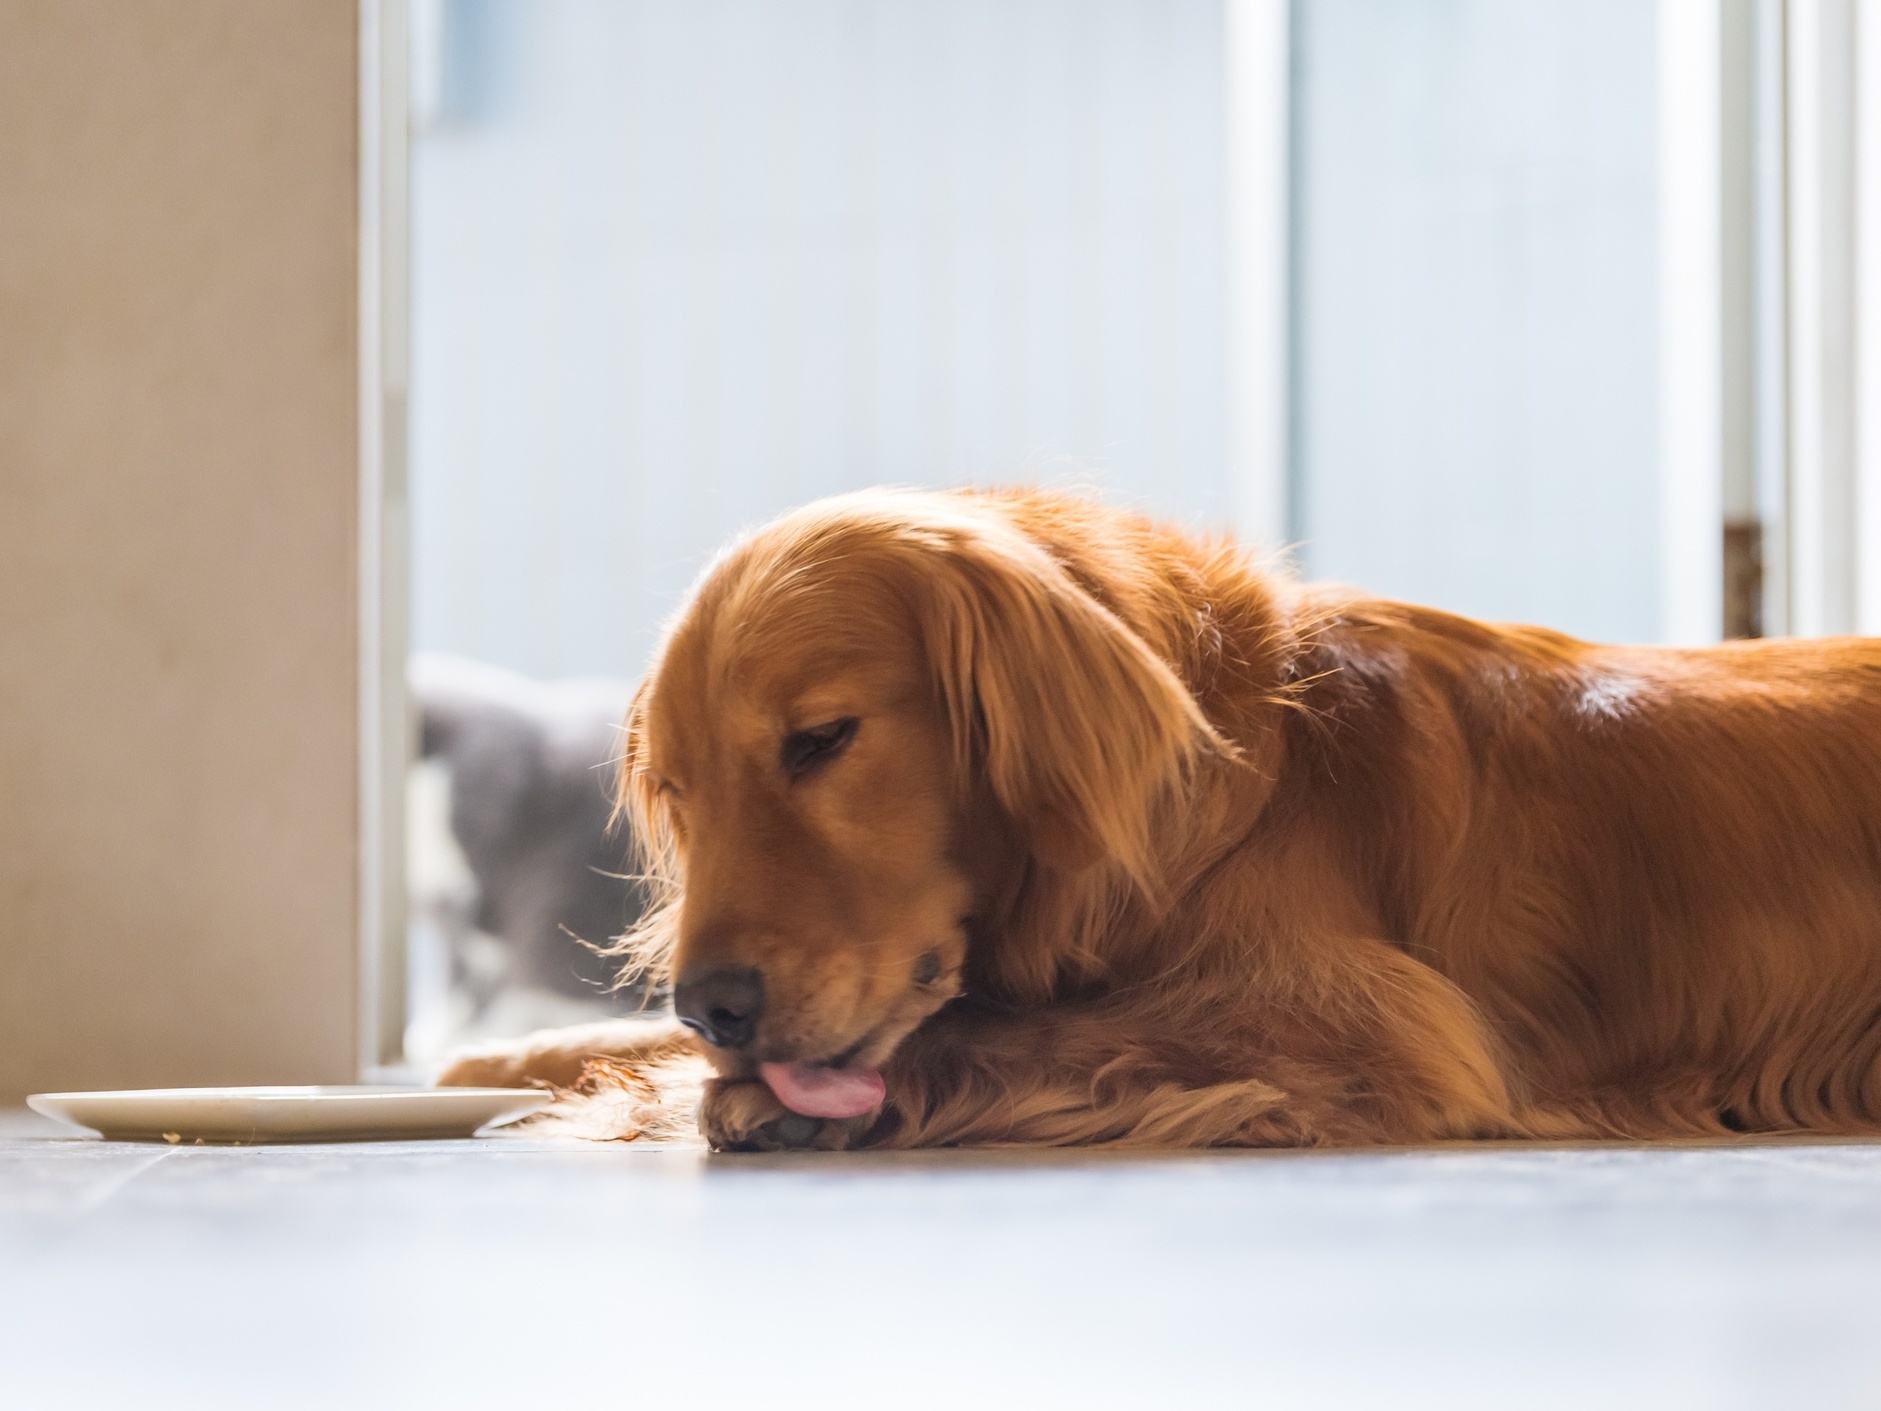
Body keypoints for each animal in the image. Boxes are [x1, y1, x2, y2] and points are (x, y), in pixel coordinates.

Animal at [443, 485, 1881, 1151]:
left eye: (820, 740)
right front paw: (513, 1059)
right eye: (680, 791)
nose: (716, 1005)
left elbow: (1025, 1030)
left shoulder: (1377, 1020)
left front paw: (712, 1094)